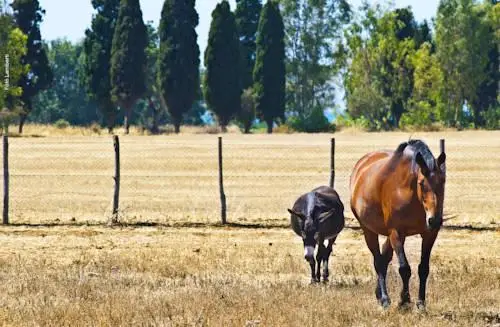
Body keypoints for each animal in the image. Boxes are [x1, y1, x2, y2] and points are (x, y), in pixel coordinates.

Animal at [350, 140, 448, 310]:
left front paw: (420, 303)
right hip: (368, 230)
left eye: (443, 181)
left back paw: (379, 294)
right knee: (378, 261)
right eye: (421, 183)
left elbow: (423, 268)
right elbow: (404, 268)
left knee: (384, 258)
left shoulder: (429, 234)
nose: (434, 220)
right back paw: (384, 299)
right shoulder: (396, 232)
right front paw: (404, 300)